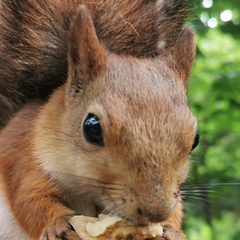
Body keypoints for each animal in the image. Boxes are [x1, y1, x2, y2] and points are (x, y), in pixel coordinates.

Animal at [0, 0, 197, 240]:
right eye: (91, 128)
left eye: (195, 139)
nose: (156, 213)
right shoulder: (28, 159)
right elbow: (30, 199)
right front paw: (59, 224)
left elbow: (177, 210)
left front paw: (172, 230)